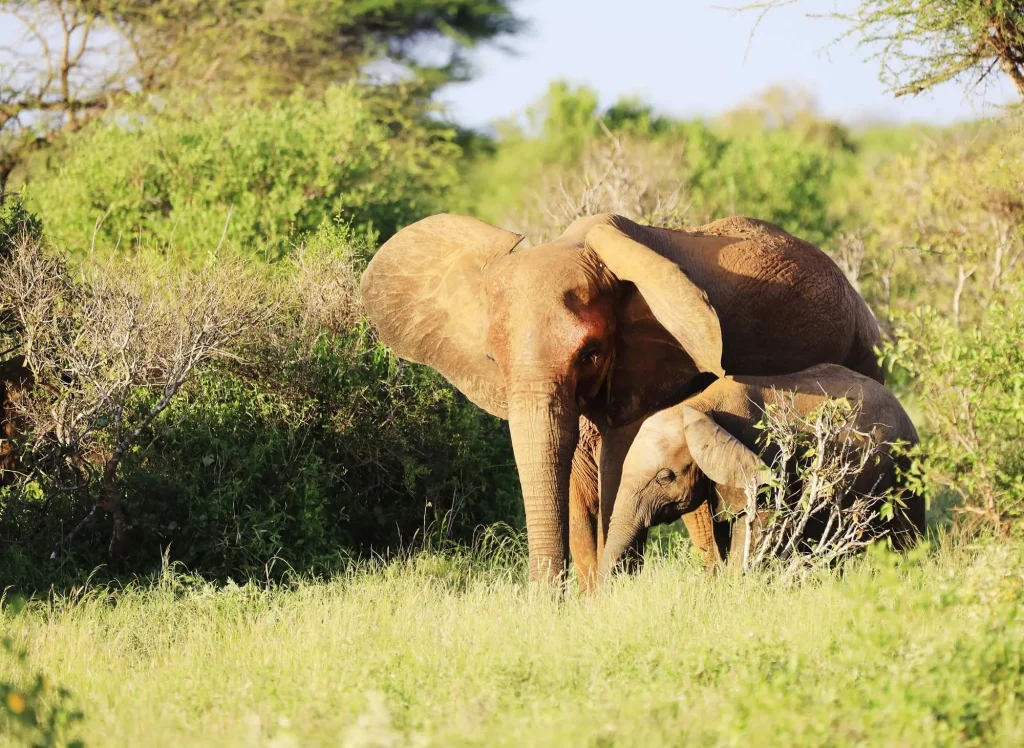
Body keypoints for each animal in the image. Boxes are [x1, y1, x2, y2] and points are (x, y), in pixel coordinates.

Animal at [598, 364, 925, 580]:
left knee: (906, 533)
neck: (698, 405)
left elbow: (756, 525)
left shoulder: (765, 452)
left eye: (665, 477)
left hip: (903, 470)